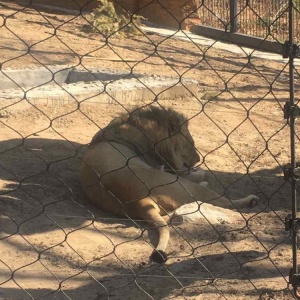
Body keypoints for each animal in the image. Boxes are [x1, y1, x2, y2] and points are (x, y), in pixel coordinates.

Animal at [80, 105, 258, 262]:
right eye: (191, 144)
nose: (198, 159)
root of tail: (140, 201)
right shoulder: (176, 172)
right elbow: (198, 173)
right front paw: (201, 173)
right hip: (185, 186)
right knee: (225, 201)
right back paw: (249, 200)